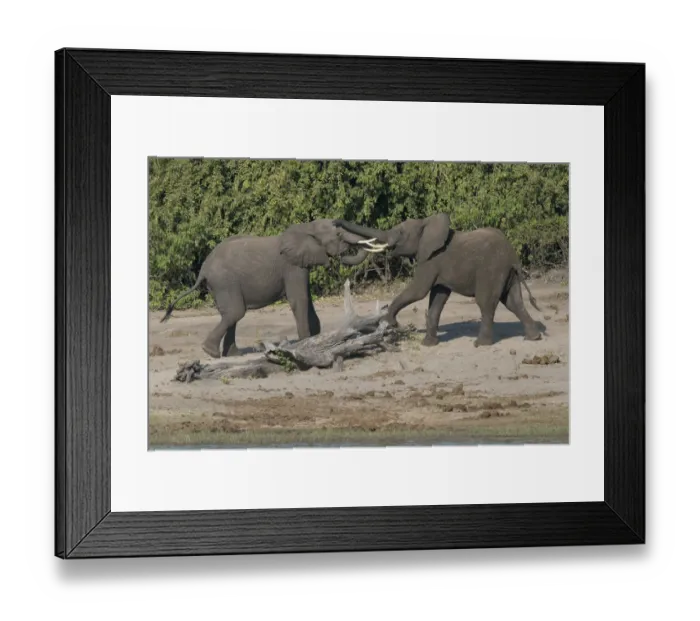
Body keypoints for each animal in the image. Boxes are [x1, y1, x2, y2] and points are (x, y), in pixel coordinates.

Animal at [159, 219, 387, 358]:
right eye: (339, 235)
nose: (342, 254)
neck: (307, 228)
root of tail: (203, 270)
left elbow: (307, 299)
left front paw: (314, 338)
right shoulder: (292, 266)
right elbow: (299, 300)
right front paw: (305, 342)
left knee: (231, 314)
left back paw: (231, 355)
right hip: (224, 282)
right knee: (235, 313)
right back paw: (211, 353)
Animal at [332, 214, 543, 347]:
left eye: (400, 233)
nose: (335, 223)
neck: (425, 223)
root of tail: (512, 256)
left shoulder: (431, 260)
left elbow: (419, 291)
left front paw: (388, 322)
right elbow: (437, 299)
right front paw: (428, 344)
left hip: (491, 270)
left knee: (486, 303)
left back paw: (480, 344)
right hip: (507, 273)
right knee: (514, 302)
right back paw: (533, 338)